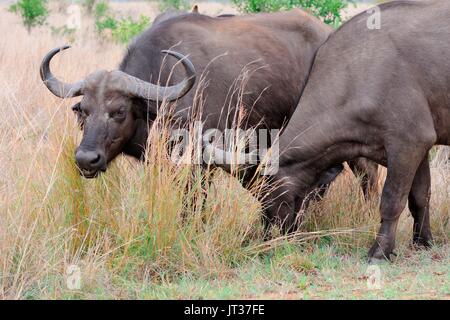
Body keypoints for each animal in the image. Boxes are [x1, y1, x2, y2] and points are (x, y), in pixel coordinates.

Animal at [244, 0, 448, 262]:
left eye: (267, 197)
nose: (267, 237)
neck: (357, 75)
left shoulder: (408, 142)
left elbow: (392, 200)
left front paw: (380, 250)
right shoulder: (419, 147)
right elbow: (420, 197)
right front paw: (423, 241)